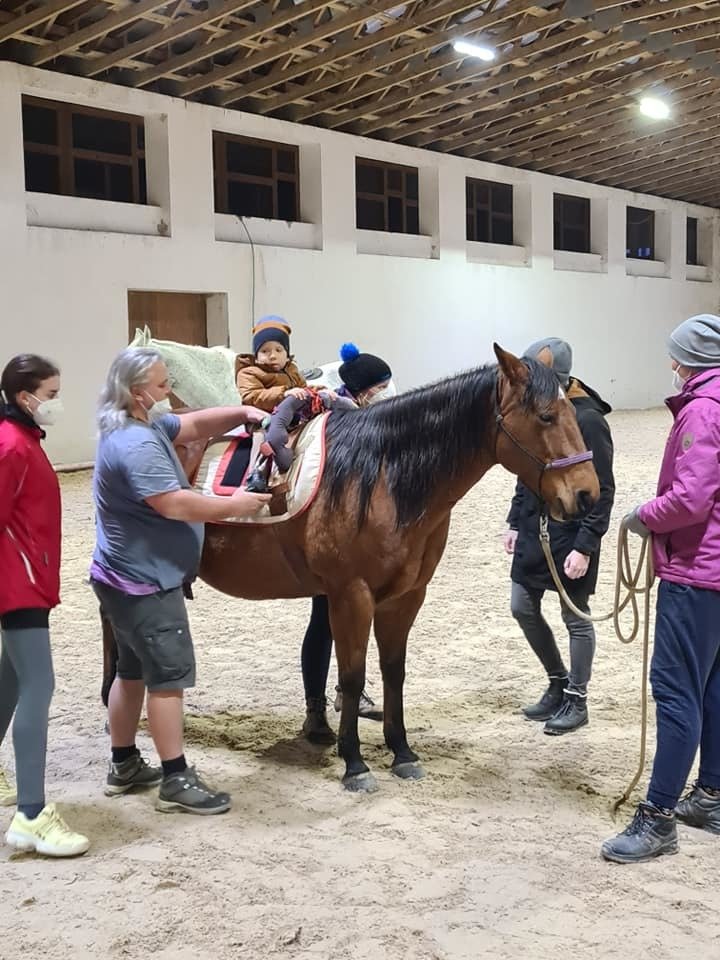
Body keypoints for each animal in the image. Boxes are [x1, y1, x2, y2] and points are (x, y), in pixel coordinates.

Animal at [101, 348, 596, 792]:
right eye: (546, 416)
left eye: (572, 411)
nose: (588, 494)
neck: (383, 476)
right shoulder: (351, 594)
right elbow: (352, 676)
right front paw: (355, 763)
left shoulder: (406, 596)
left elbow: (393, 671)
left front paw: (402, 751)